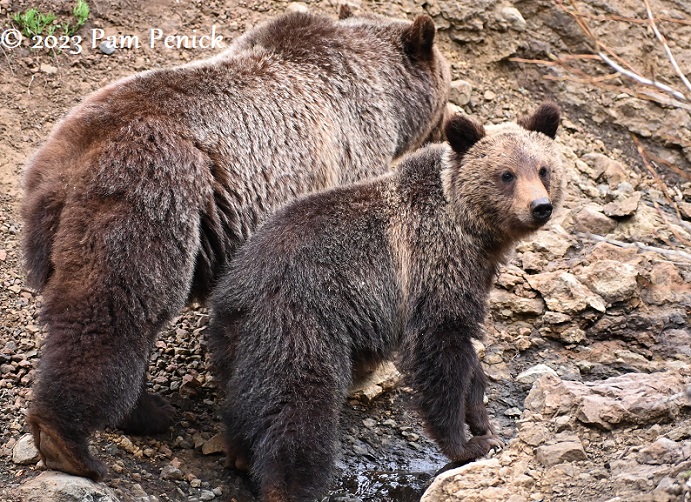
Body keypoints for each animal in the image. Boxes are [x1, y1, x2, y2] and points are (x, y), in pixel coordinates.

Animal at [20, 8, 448, 478]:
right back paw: (72, 442)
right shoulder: (345, 163)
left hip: (57, 223)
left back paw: (144, 410)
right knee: (113, 311)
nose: (452, 126)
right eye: (448, 87)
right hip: (149, 198)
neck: (379, 98)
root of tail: (73, 158)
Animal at [209, 103, 564, 502]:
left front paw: (483, 422)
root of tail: (242, 279)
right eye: (506, 174)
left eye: (543, 169)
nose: (540, 207)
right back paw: (288, 485)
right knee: (299, 409)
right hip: (303, 321)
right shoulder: (432, 268)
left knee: (245, 396)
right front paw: (466, 442)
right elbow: (440, 351)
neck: (471, 233)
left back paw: (239, 453)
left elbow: (469, 358)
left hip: (236, 335)